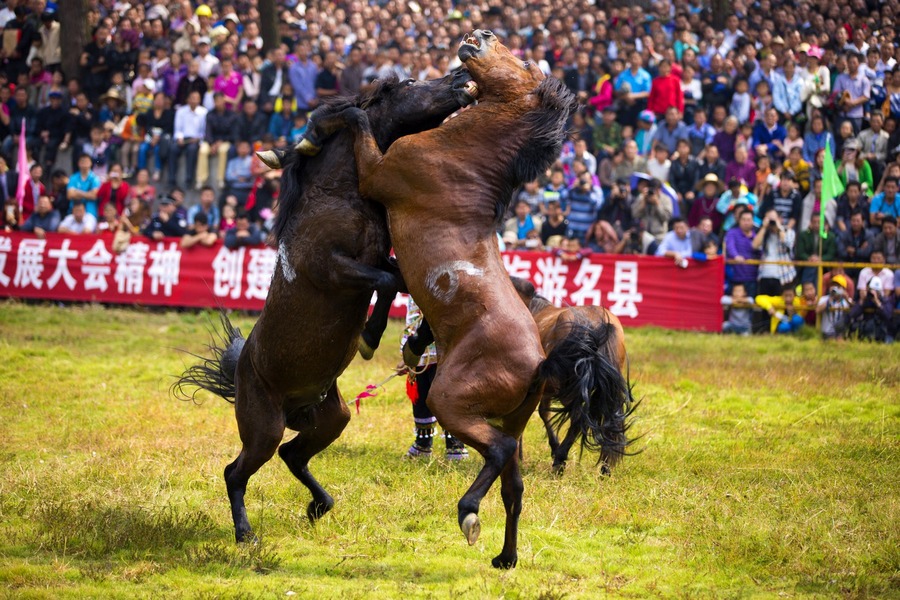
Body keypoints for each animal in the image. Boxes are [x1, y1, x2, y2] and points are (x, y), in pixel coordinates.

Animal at [328, 31, 620, 568]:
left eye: (524, 65)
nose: (481, 36)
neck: (463, 155)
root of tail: (540, 361)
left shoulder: (378, 172)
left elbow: (360, 124)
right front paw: (404, 343)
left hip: (452, 400)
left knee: (498, 451)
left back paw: (467, 512)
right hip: (513, 420)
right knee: (514, 485)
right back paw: (504, 556)